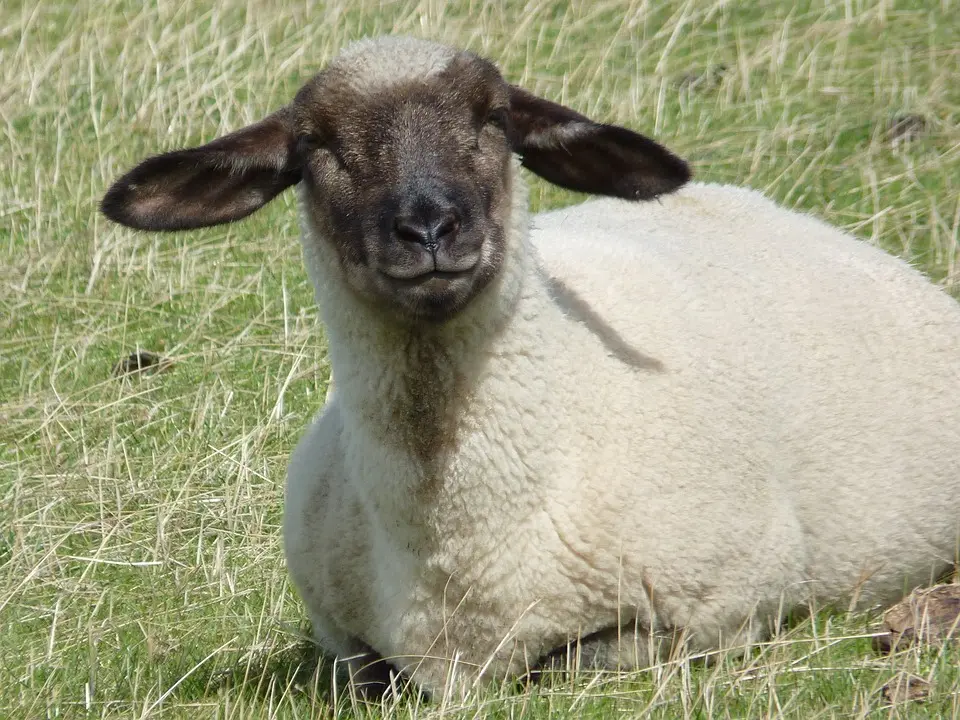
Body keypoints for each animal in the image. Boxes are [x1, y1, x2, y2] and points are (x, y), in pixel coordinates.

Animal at [99, 36, 960, 700]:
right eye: (316, 146)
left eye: (496, 119)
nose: (429, 227)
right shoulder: (346, 640)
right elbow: (380, 676)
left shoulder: (724, 606)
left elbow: (567, 662)